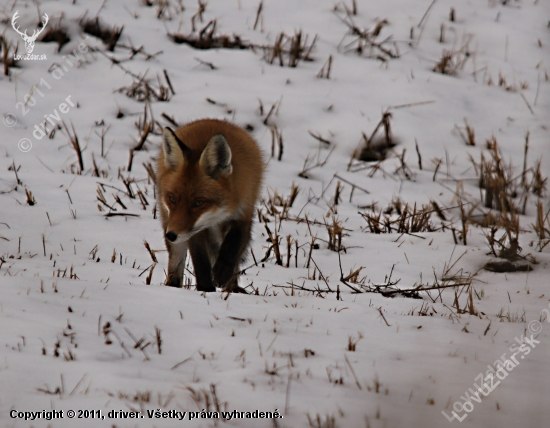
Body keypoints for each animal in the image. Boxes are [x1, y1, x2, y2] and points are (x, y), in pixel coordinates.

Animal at [156, 118, 266, 292]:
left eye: (198, 203)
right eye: (172, 199)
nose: (171, 235)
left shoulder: (244, 210)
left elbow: (233, 245)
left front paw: (222, 273)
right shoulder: (195, 231)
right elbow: (201, 261)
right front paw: (206, 289)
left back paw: (231, 287)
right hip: (170, 225)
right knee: (176, 265)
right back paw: (172, 287)